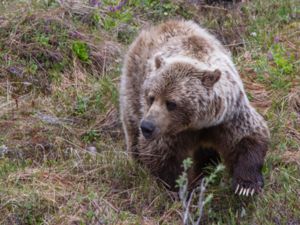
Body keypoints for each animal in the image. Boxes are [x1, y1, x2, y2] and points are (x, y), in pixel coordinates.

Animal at [119, 19, 270, 196]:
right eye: (151, 97)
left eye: (171, 103)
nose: (147, 126)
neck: (198, 123)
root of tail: (160, 25)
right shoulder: (170, 131)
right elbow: (161, 154)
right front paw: (180, 188)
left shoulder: (229, 115)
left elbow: (247, 136)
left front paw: (246, 186)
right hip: (134, 82)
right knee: (132, 125)